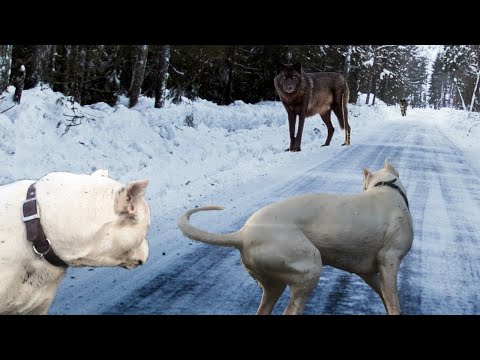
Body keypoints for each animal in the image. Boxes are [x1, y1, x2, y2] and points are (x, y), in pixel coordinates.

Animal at [179, 160, 412, 316]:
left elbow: (385, 295)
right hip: (309, 264)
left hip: (273, 284)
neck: (387, 188)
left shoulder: (370, 273)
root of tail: (243, 234)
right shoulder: (389, 261)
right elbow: (393, 300)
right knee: (291, 310)